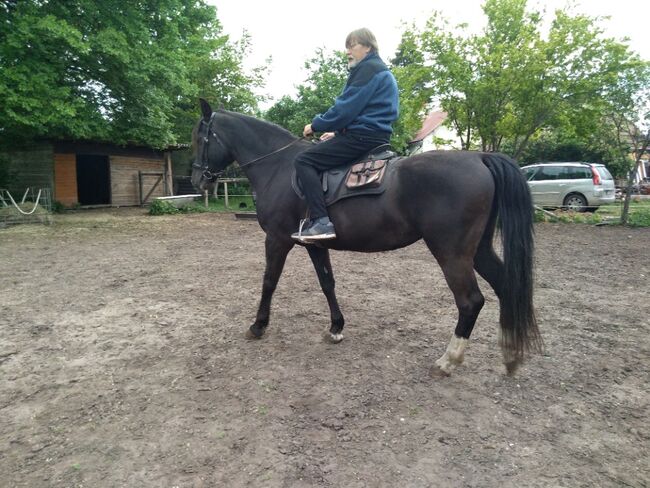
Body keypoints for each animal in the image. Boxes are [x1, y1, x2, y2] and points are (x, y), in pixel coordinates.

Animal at [190, 98, 540, 374]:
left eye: (200, 137)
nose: (197, 180)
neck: (279, 166)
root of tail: (479, 157)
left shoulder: (277, 239)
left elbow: (269, 281)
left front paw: (258, 325)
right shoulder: (313, 244)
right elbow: (327, 283)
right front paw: (336, 328)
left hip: (452, 253)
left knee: (471, 301)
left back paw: (448, 360)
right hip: (477, 250)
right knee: (506, 285)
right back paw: (510, 354)